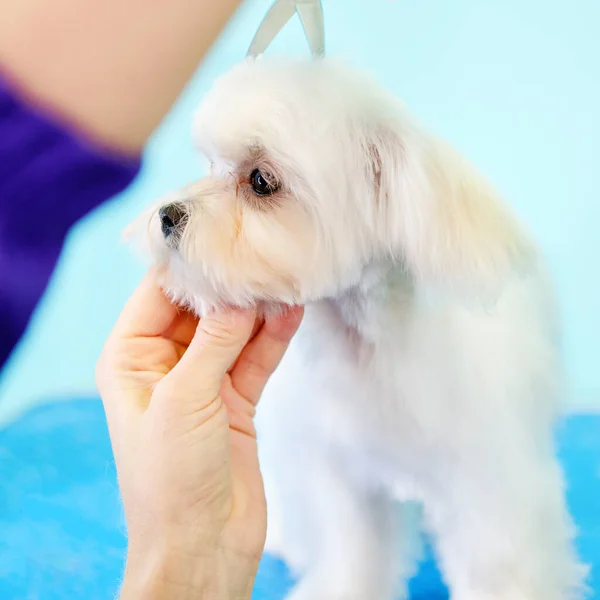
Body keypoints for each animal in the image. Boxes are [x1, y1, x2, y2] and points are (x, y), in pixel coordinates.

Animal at [135, 57, 584, 600]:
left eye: (261, 180)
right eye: (209, 166)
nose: (168, 214)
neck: (372, 353)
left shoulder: (490, 484)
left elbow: (502, 566)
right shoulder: (347, 482)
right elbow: (355, 553)